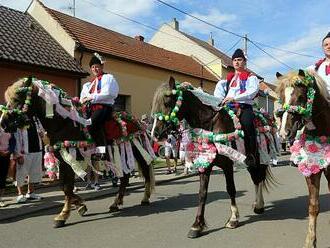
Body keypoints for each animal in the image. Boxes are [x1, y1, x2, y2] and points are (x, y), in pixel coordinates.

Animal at [0, 77, 155, 227]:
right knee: (124, 177)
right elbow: (64, 187)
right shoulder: (62, 159)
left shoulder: (69, 157)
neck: (63, 123)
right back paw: (116, 203)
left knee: (145, 172)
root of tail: (137, 121)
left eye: (18, 97)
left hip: (136, 150)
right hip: (118, 152)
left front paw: (63, 215)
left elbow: (67, 187)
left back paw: (145, 198)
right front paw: (80, 205)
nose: (4, 124)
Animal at [150, 76, 276, 238]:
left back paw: (259, 205)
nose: (155, 134)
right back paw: (257, 205)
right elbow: (202, 193)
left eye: (167, 102)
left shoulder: (228, 165)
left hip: (260, 159)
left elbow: (231, 189)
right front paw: (197, 225)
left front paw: (233, 219)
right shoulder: (205, 164)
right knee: (256, 179)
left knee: (258, 179)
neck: (210, 124)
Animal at [276, 69, 330, 247]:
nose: (284, 133)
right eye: (281, 97)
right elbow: (313, 206)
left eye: (300, 97)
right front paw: (310, 241)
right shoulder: (312, 172)